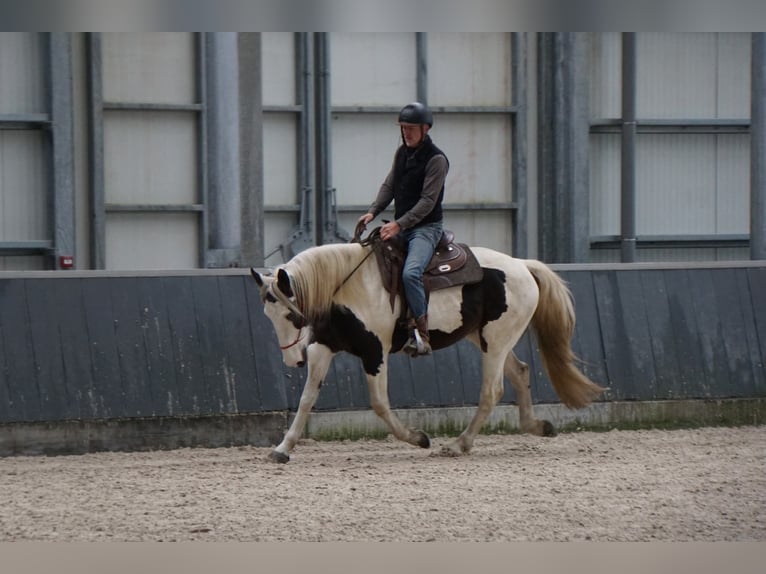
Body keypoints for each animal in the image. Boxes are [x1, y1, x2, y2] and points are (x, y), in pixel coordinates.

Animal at [250, 231, 605, 463]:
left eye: (291, 315)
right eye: (267, 315)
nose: (292, 361)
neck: (347, 286)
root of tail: (522, 265)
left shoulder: (375, 353)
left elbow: (379, 404)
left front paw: (418, 438)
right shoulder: (323, 347)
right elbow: (307, 399)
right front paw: (282, 449)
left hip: (498, 340)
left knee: (492, 391)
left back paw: (459, 445)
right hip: (486, 338)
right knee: (520, 372)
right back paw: (537, 426)